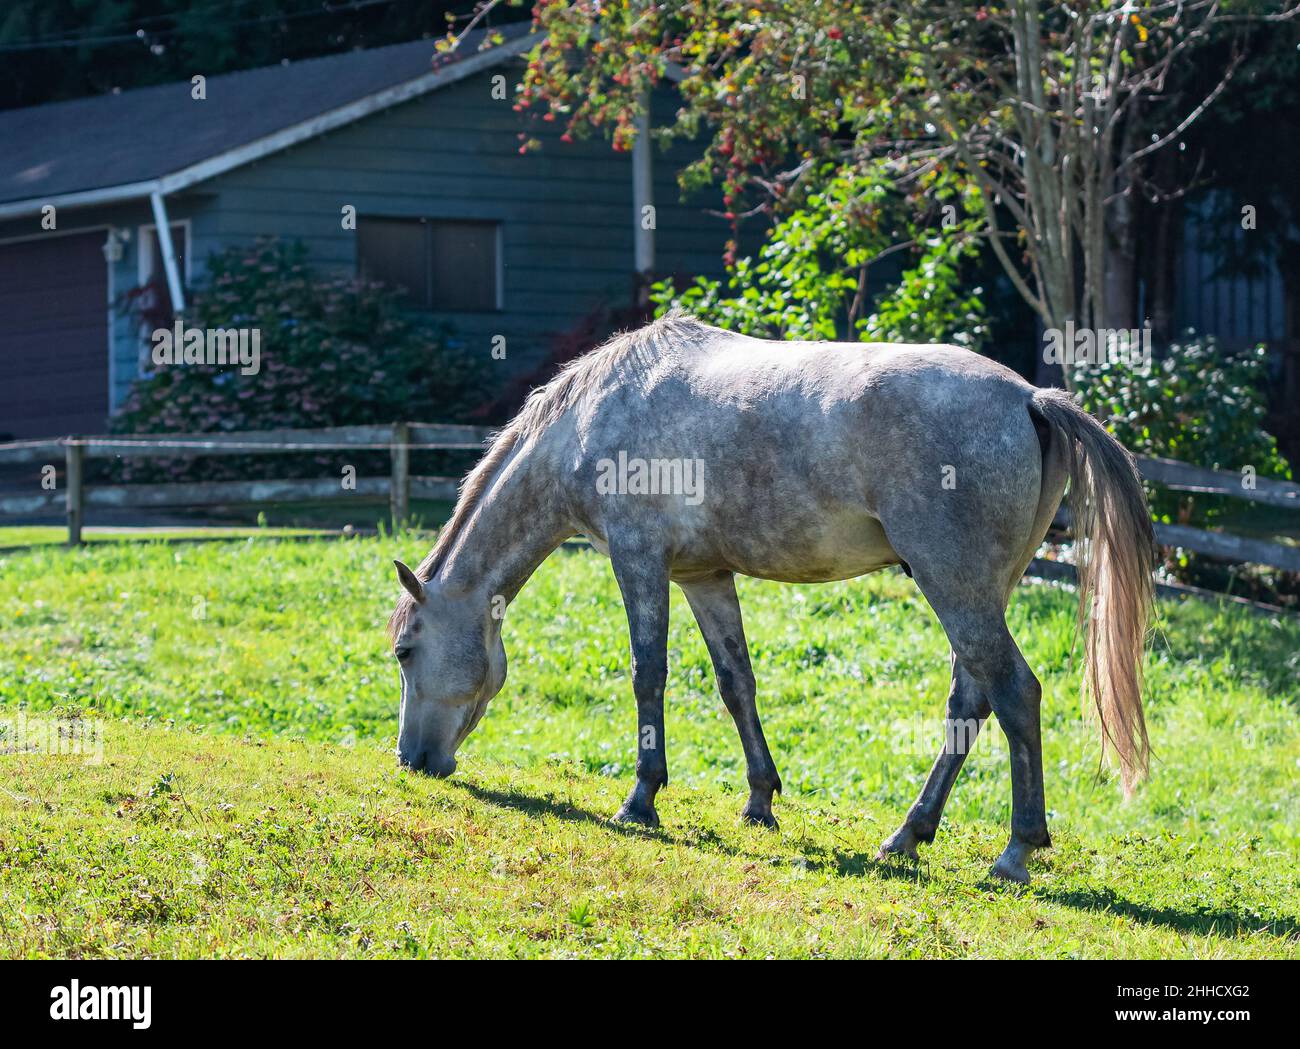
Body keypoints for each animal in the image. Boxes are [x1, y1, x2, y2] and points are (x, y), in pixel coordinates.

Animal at [382, 313, 1149, 883]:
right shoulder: (703, 577)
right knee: (972, 699)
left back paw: (1016, 850)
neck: (594, 414)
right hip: (979, 591)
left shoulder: (639, 561)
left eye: (405, 650)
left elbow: (648, 675)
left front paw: (641, 800)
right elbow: (736, 683)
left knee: (1015, 692)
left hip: (954, 584)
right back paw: (907, 834)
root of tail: (1029, 398)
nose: (410, 759)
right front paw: (759, 801)